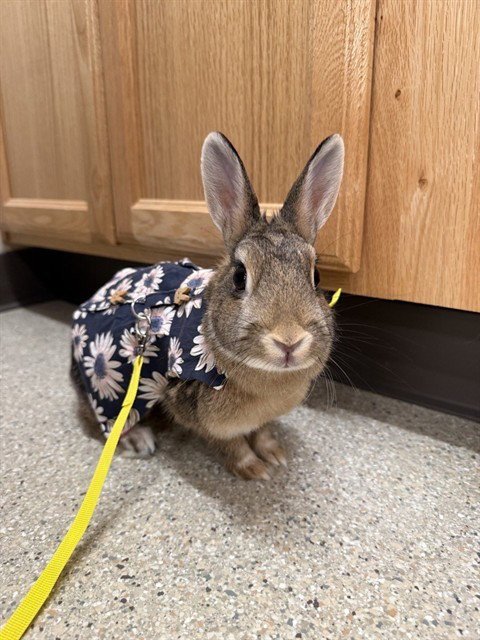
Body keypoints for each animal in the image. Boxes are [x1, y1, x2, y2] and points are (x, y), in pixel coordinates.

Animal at [71, 131, 344, 479]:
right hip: (108, 384)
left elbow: (262, 430)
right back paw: (137, 439)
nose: (289, 341)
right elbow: (230, 444)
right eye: (240, 276)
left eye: (317, 276)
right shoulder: (206, 420)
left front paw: (274, 454)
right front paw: (254, 469)